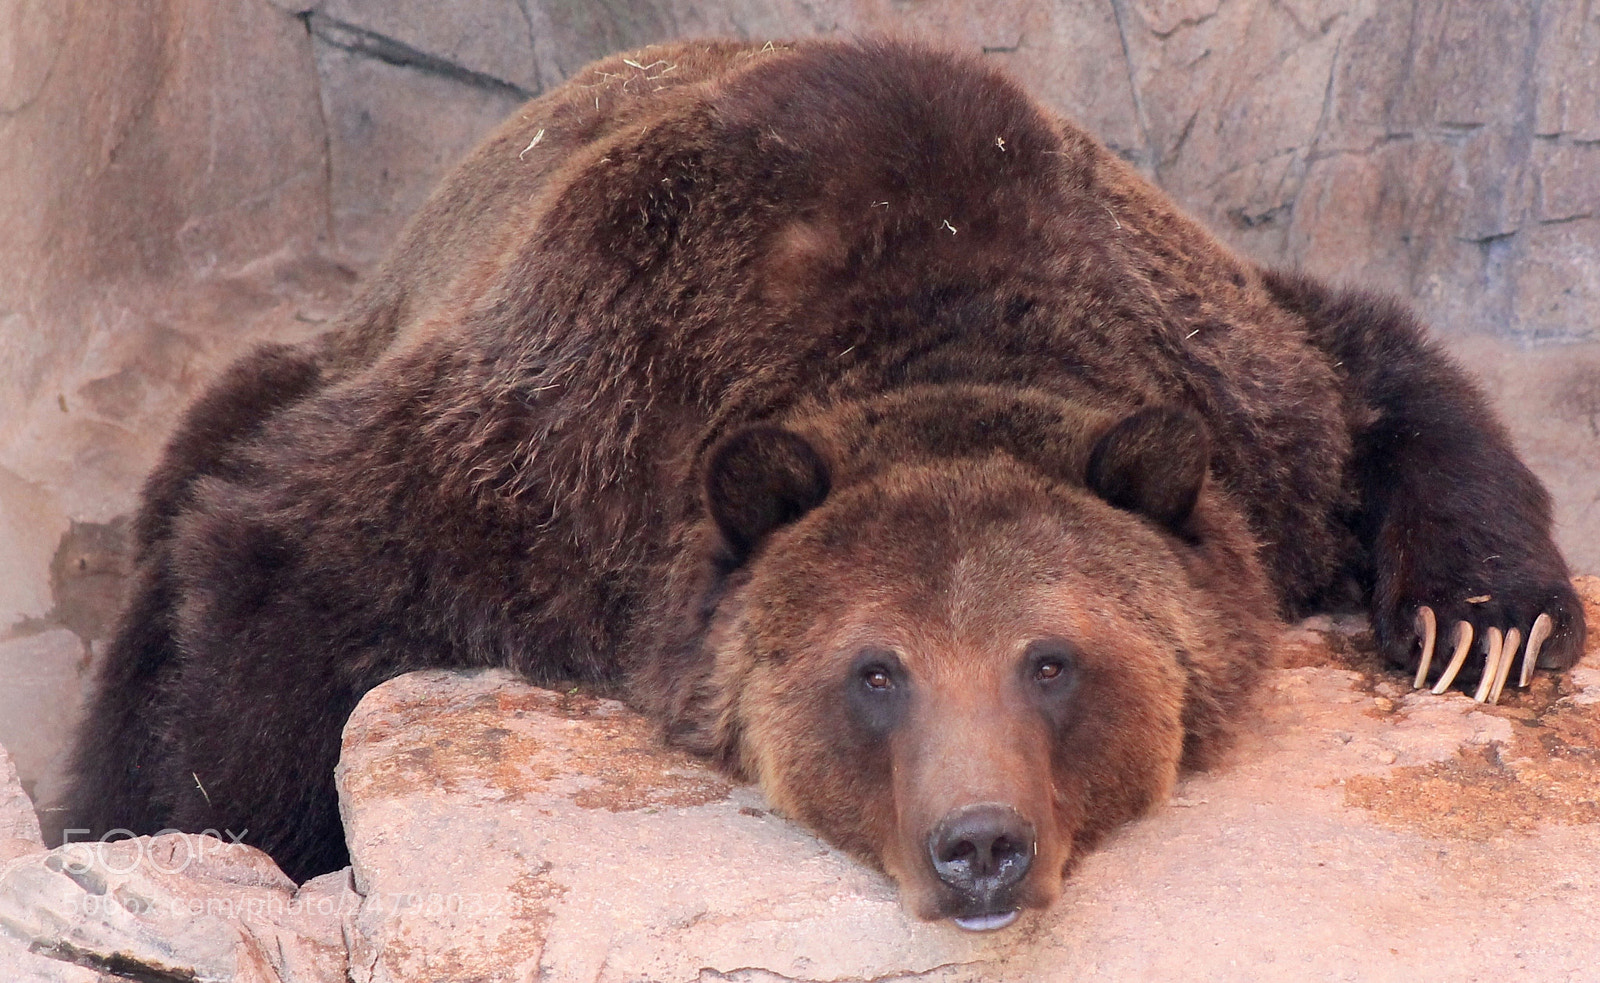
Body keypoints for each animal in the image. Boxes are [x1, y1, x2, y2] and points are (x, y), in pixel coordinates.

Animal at [58, 37, 1585, 930]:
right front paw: (186, 835)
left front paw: (1482, 621)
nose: (980, 843)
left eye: (1053, 659)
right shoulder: (551, 450)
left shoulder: (1226, 389)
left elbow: (1369, 369)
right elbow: (270, 588)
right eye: (875, 669)